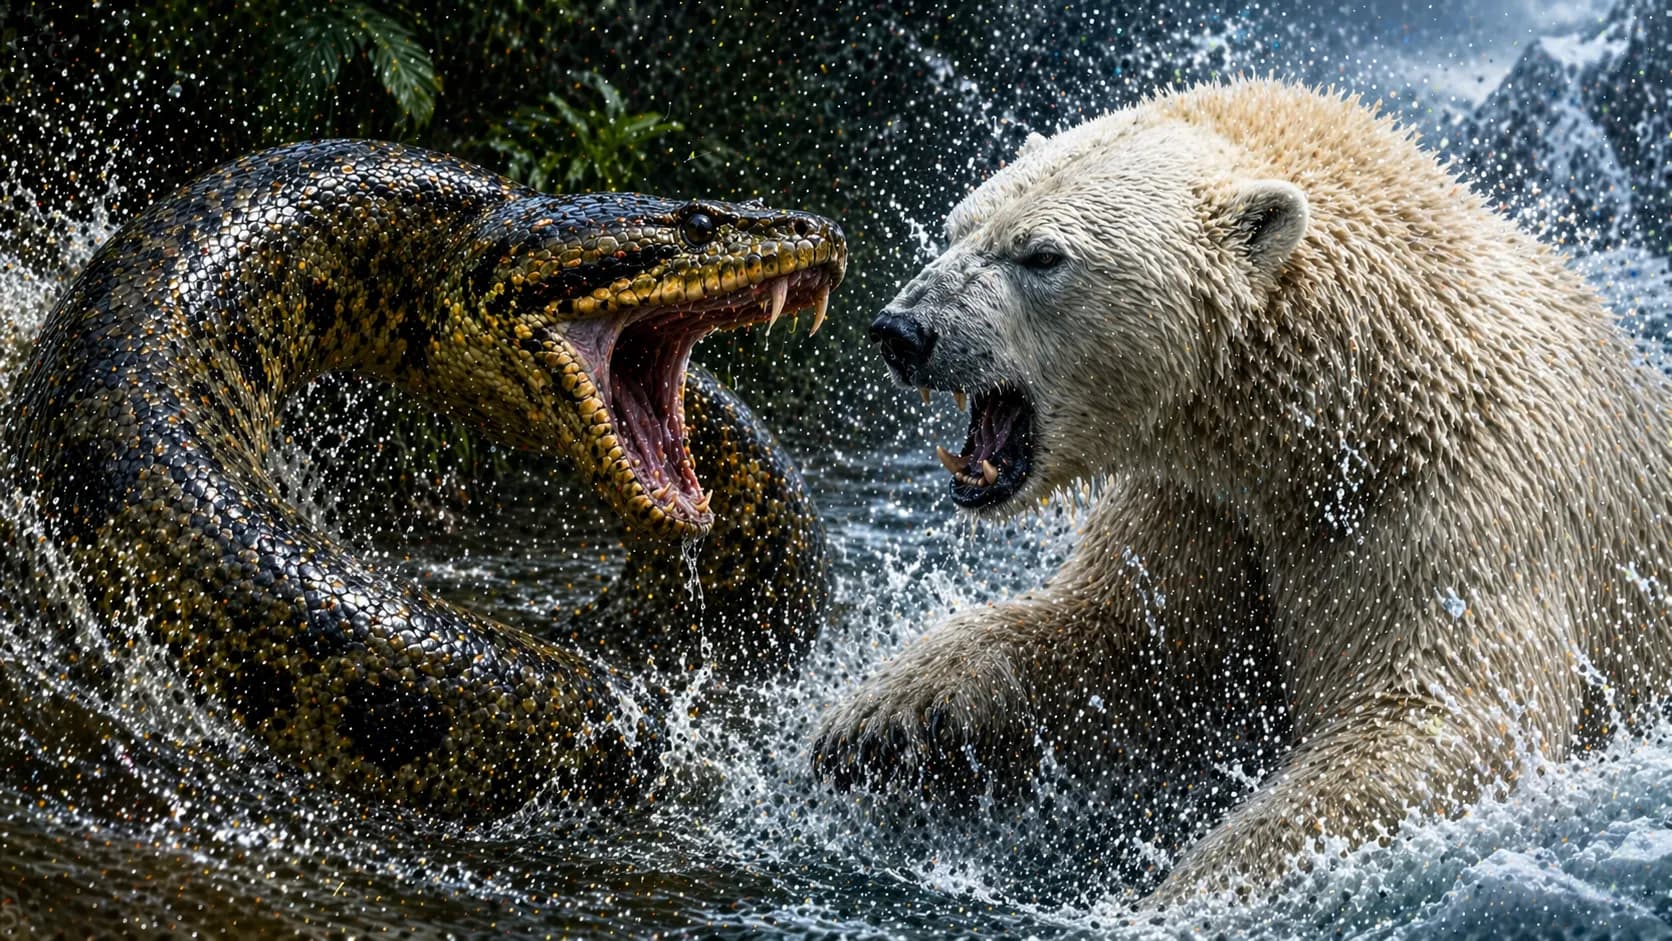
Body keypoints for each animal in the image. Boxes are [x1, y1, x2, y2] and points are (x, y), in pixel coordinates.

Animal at [812, 80, 1672, 906]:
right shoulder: (1205, 503)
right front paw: (877, 717)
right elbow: (1123, 638)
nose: (903, 330)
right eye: (960, 221)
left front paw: (1187, 890)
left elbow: (1446, 721)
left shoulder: (1468, 502)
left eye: (1042, 254)